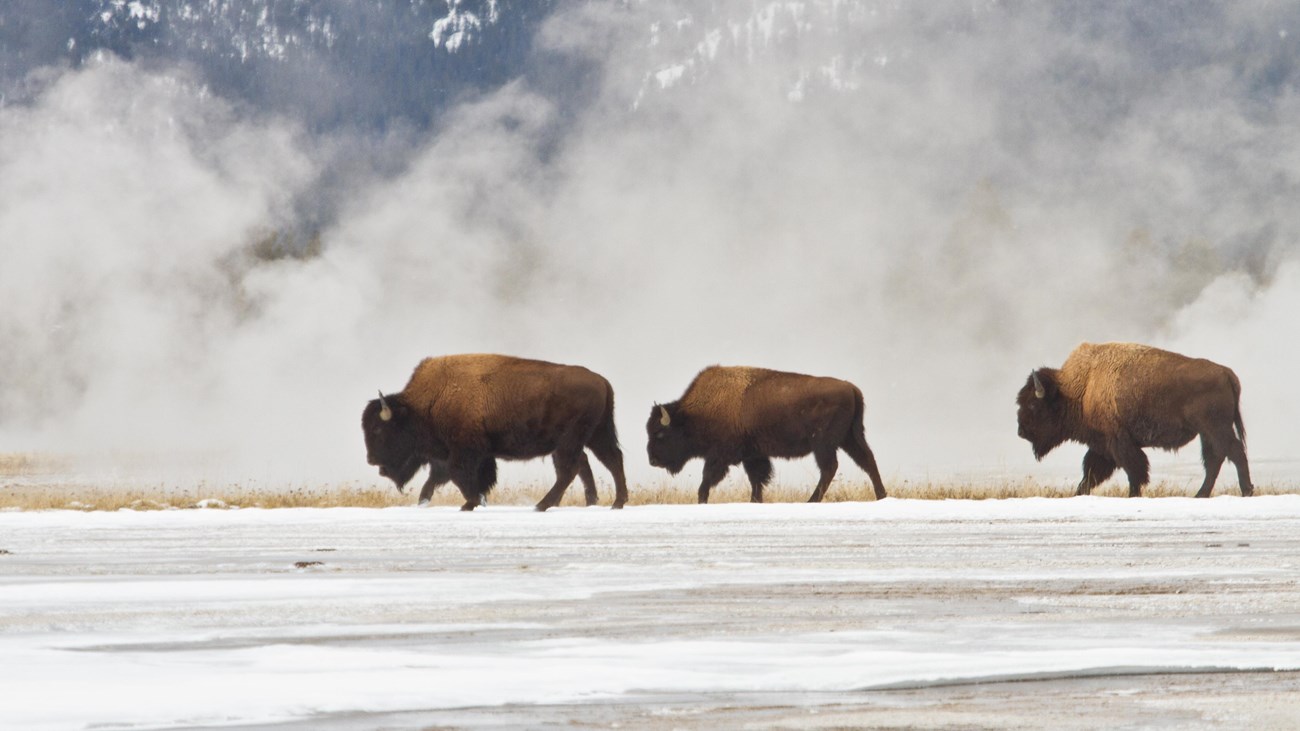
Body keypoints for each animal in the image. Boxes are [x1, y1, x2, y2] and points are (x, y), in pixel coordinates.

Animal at [364, 353, 631, 507]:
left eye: (378, 430)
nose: (371, 460)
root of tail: (602, 381)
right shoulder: (467, 454)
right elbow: (444, 478)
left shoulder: (464, 452)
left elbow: (458, 476)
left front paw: (471, 503)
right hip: (594, 435)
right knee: (608, 460)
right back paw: (612, 502)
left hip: (571, 440)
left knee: (571, 469)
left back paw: (542, 505)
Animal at [644, 364, 889, 499]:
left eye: (660, 434)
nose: (653, 461)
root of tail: (851, 388)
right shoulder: (753, 456)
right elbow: (757, 481)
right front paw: (755, 501)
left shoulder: (719, 456)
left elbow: (707, 480)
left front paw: (702, 499)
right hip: (851, 438)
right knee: (867, 460)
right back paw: (881, 496)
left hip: (824, 444)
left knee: (830, 468)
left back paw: (811, 501)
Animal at [1013, 340, 1248, 494]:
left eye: (1033, 404)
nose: (1021, 431)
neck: (1080, 388)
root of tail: (1227, 373)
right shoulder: (1101, 447)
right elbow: (1089, 475)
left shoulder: (1119, 442)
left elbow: (1134, 472)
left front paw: (1134, 495)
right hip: (1206, 433)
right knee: (1215, 459)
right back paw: (1201, 495)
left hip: (1215, 428)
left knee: (1234, 452)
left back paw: (1246, 490)